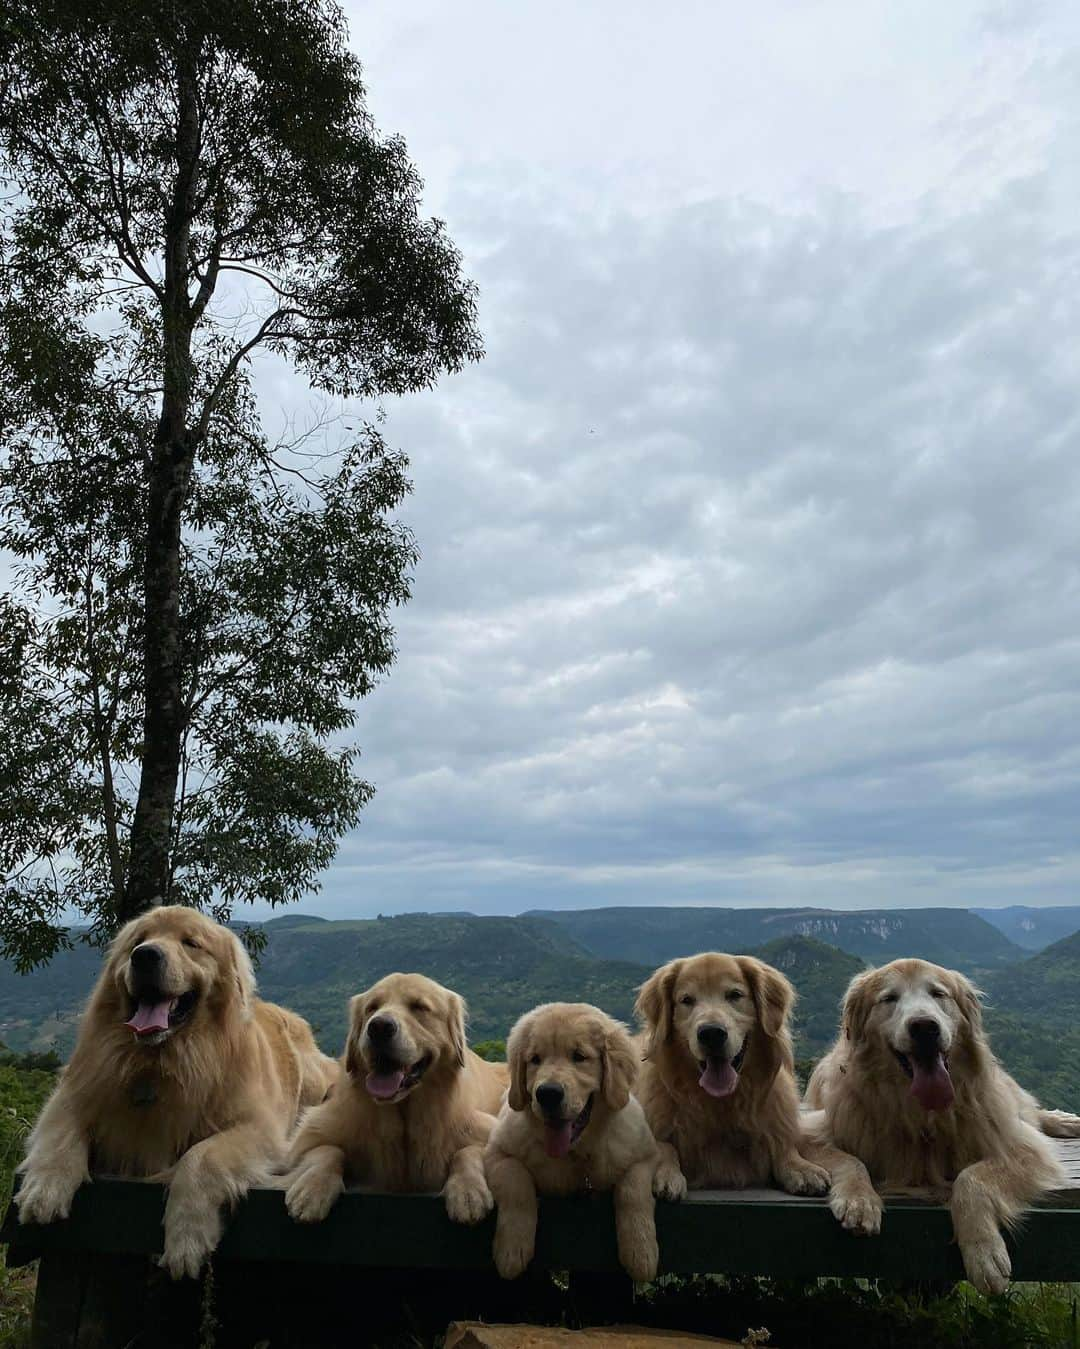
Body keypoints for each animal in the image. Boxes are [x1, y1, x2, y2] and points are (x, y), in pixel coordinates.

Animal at [14, 906, 334, 1273]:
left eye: (191, 943)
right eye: (138, 941)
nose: (145, 956)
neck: (158, 1062)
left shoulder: (261, 1129)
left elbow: (199, 1158)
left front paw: (187, 1237)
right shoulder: (75, 1092)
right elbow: (60, 1131)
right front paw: (44, 1188)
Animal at [284, 976, 506, 1230]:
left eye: (419, 1007)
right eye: (372, 1007)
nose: (379, 1027)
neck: (405, 1119)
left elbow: (467, 1151)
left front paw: (468, 1192)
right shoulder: (311, 1133)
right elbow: (327, 1149)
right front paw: (311, 1189)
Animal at [485, 1009, 657, 1278]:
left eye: (579, 1056)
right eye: (535, 1059)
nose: (547, 1094)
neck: (575, 1153)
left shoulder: (646, 1153)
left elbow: (633, 1188)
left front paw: (641, 1251)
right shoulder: (495, 1152)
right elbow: (516, 1182)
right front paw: (512, 1249)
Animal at [636, 949, 830, 1203]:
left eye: (735, 995)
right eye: (686, 1000)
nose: (711, 1033)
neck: (720, 1104)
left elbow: (782, 1146)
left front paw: (802, 1168)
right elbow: (664, 1146)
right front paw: (666, 1172)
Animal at [798, 960, 1078, 1295]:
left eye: (938, 993)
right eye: (889, 998)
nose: (924, 1027)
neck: (921, 1114)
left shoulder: (1020, 1146)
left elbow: (971, 1179)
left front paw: (984, 1251)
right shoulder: (810, 1129)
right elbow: (851, 1161)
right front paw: (860, 1200)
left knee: (1027, 1111)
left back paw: (1064, 1121)